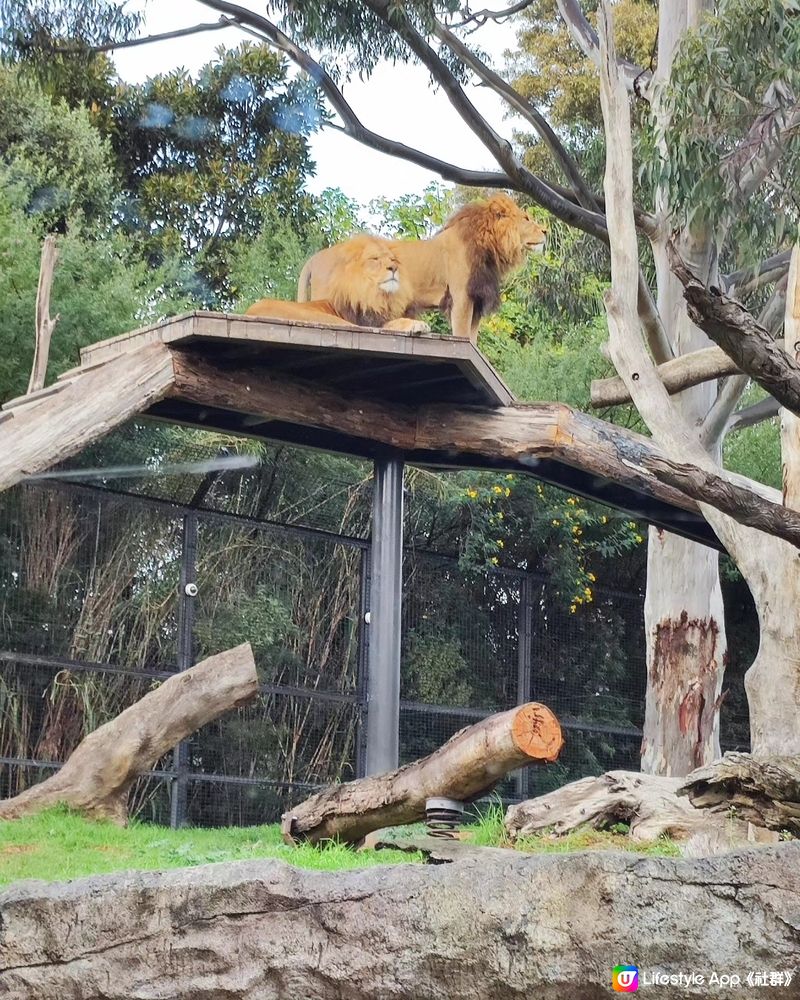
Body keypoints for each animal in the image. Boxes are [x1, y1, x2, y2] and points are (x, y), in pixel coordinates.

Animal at [247, 232, 428, 334]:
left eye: (393, 260)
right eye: (375, 259)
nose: (394, 268)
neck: (375, 295)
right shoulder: (366, 323)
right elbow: (388, 324)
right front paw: (417, 324)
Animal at [296, 193, 548, 346]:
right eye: (527, 218)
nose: (546, 231)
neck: (490, 247)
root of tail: (314, 258)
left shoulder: (476, 300)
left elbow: (473, 340)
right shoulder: (461, 297)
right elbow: (462, 335)